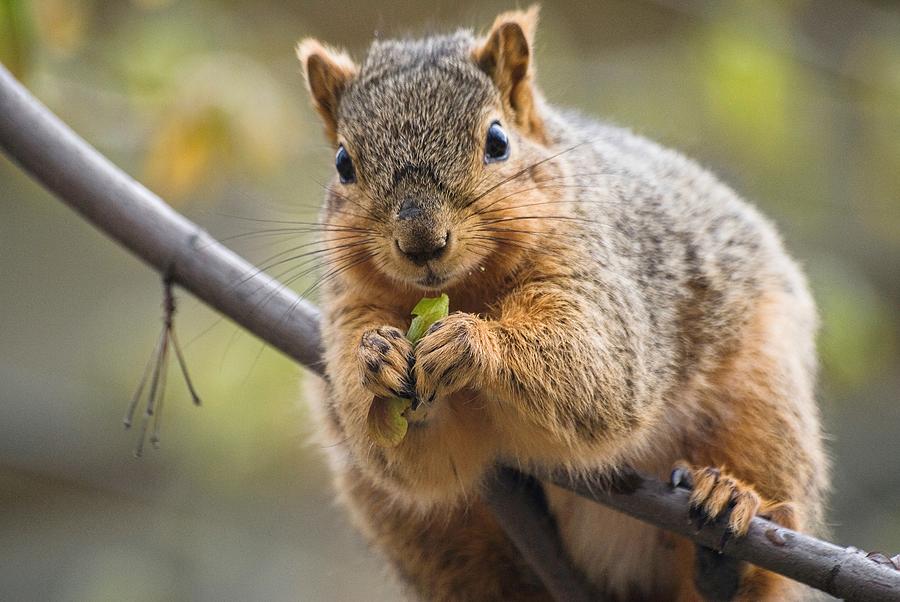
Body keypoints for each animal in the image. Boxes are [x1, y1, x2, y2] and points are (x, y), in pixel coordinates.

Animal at [297, 6, 828, 601]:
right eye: (343, 163)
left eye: (498, 141)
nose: (422, 243)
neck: (464, 289)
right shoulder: (349, 309)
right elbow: (416, 462)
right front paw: (377, 359)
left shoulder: (596, 272)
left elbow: (595, 370)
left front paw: (470, 341)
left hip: (762, 401)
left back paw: (727, 520)